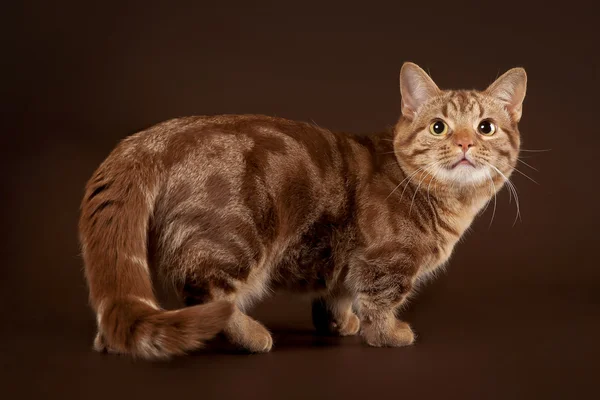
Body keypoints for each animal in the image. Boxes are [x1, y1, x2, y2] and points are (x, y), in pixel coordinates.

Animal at [78, 62, 524, 360]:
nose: (465, 143)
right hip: (233, 241)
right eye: (438, 127)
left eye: (485, 127)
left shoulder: (345, 262)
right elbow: (379, 302)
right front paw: (389, 334)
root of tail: (148, 139)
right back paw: (253, 335)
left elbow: (337, 296)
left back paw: (106, 342)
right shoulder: (383, 262)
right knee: (207, 296)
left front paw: (339, 324)